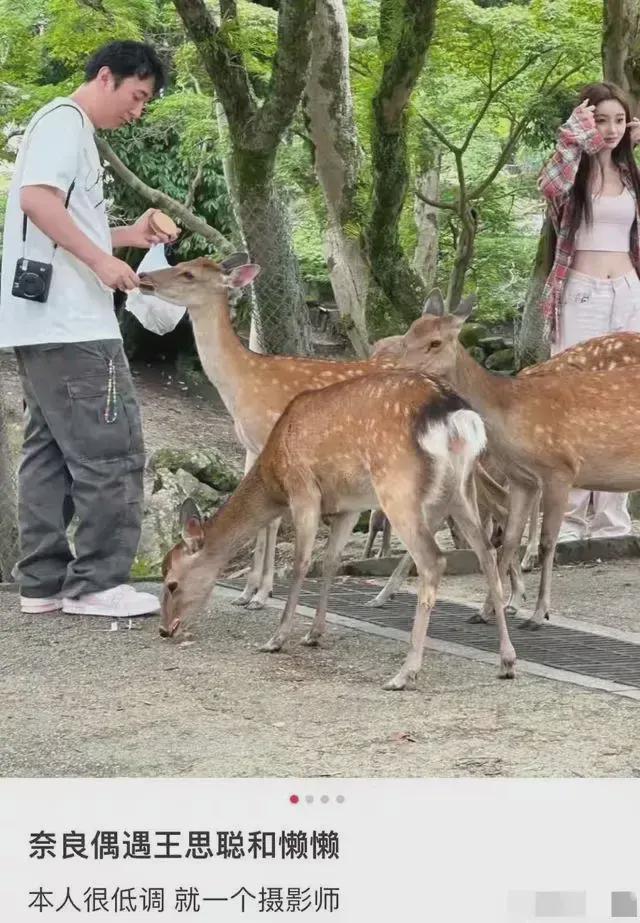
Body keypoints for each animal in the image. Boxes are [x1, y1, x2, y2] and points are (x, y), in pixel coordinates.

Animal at [159, 372, 516, 688]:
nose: (164, 629)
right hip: (461, 488)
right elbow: (330, 561)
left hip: (398, 486)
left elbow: (302, 563)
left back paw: (405, 673)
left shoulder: (303, 490)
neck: (275, 476)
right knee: (486, 552)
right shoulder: (348, 507)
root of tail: (456, 416)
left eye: (172, 583)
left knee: (433, 560)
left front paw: (277, 638)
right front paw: (313, 634)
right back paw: (506, 660)